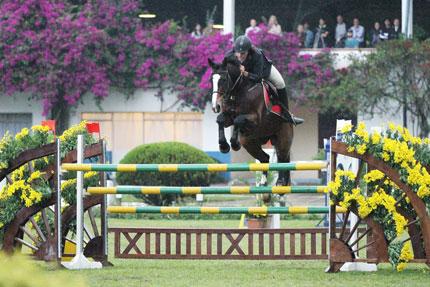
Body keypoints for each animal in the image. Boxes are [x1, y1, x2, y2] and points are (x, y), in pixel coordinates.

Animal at [209, 58, 296, 187]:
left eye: (223, 79)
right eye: (211, 80)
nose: (216, 106)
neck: (239, 91)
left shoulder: (255, 119)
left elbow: (238, 120)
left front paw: (234, 144)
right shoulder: (228, 117)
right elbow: (221, 120)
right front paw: (224, 146)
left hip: (283, 139)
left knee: (283, 159)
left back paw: (281, 183)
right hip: (249, 143)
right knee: (265, 158)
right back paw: (263, 182)